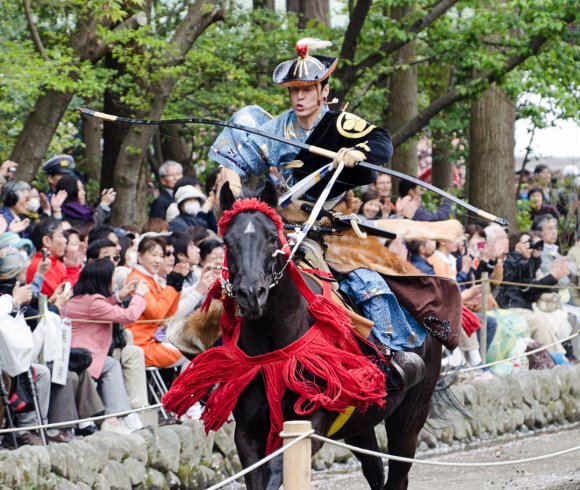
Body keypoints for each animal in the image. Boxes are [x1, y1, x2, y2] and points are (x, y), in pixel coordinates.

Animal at [212, 181, 448, 490]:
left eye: (272, 238)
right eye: (228, 242)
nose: (251, 294)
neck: (277, 343)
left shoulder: (311, 423)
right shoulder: (248, 433)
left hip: (411, 413)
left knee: (398, 475)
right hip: (361, 422)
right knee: (375, 470)